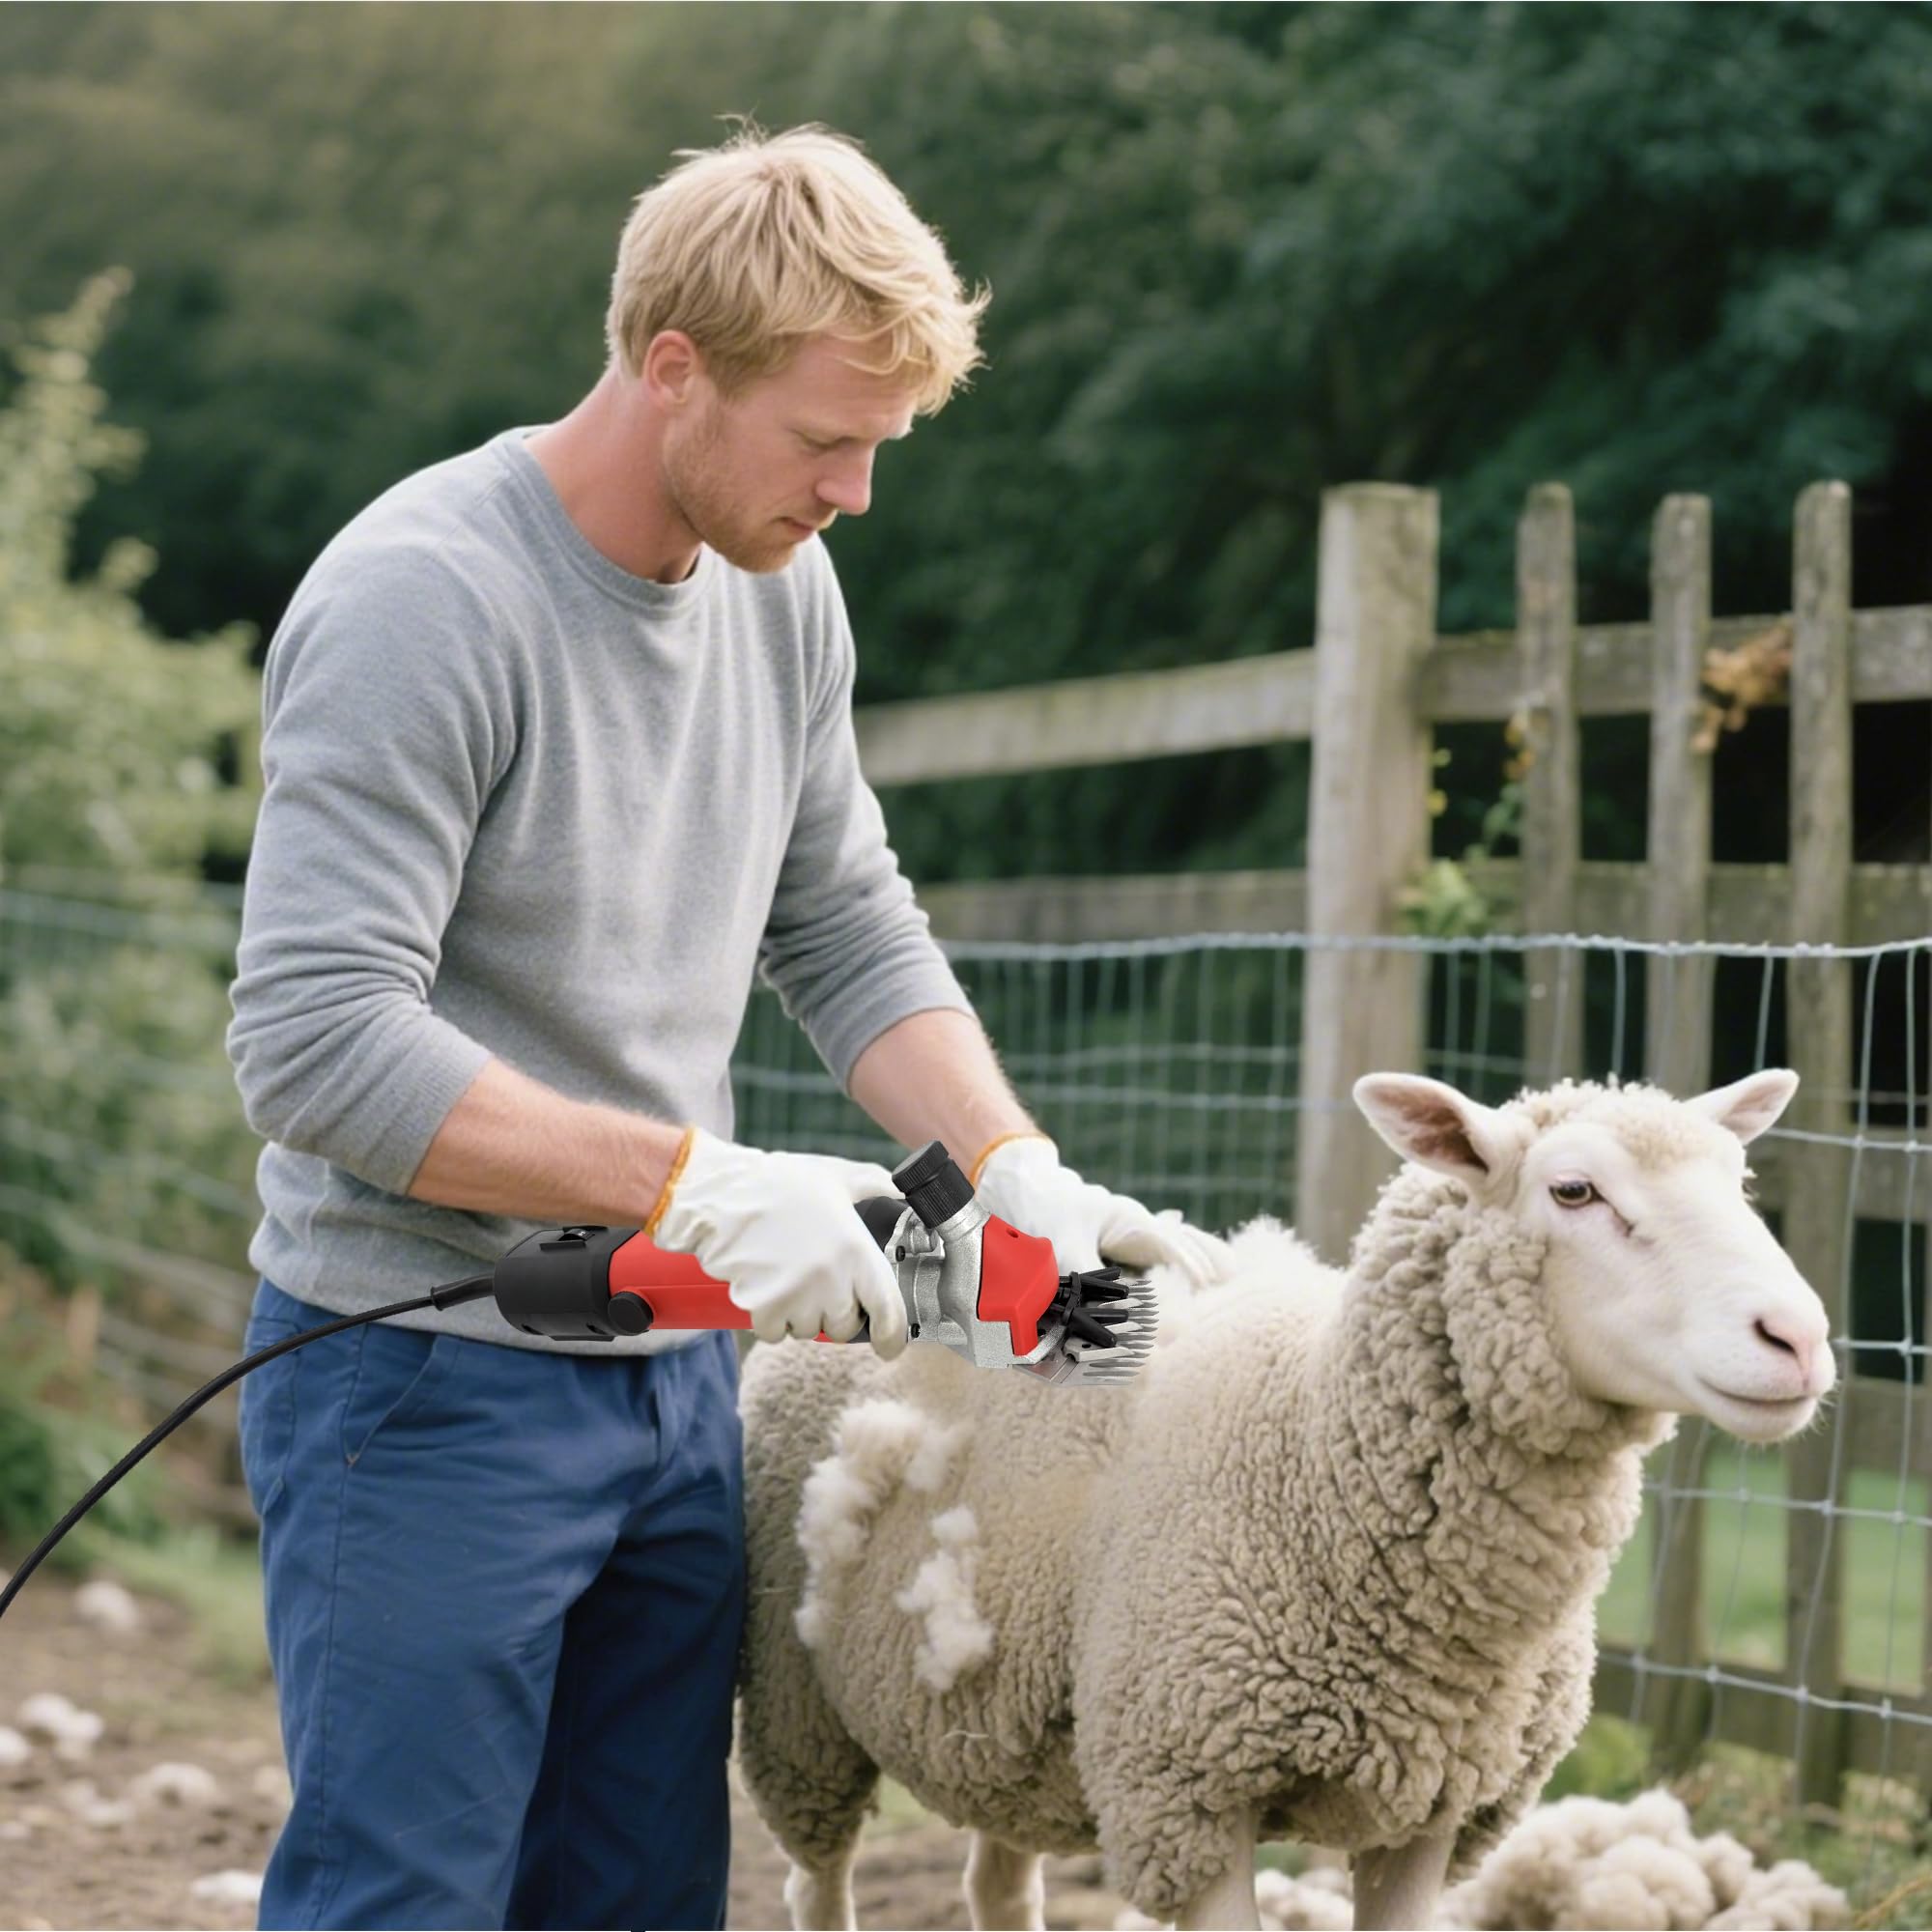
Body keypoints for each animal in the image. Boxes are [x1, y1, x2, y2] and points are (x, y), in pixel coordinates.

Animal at [736, 1069, 1836, 1932]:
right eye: (1573, 1189)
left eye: (1737, 1184)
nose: (1797, 1337)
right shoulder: (1187, 1791)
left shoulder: (1432, 1808)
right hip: (800, 1715)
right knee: (815, 1885)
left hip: (1003, 1720)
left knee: (998, 1888)